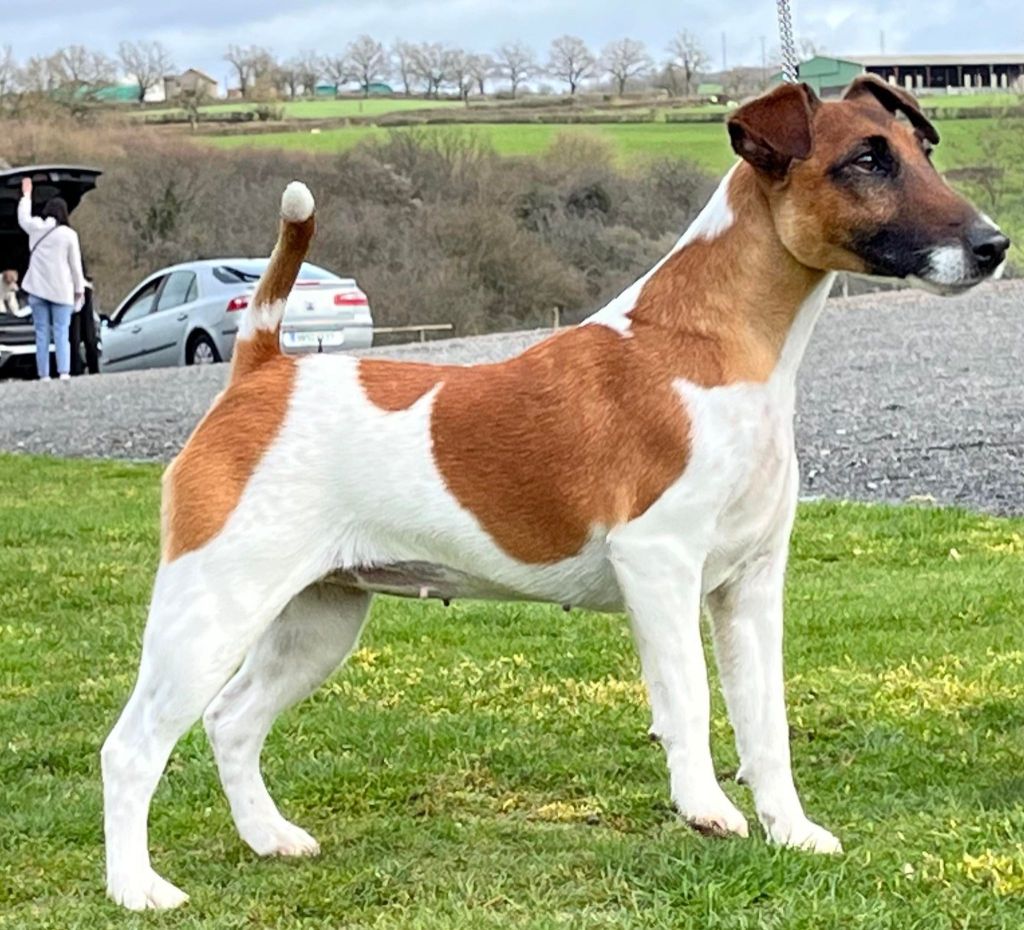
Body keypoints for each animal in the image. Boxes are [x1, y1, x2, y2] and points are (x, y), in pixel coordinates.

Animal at [101, 76, 1009, 910]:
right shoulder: (659, 566)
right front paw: (705, 809)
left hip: (317, 619)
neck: (708, 343)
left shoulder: (749, 588)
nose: (994, 244)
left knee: (233, 721)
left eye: (922, 149)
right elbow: (688, 701)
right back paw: (137, 888)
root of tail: (261, 371)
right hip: (211, 611)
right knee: (132, 747)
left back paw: (269, 837)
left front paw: (792, 831)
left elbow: (765, 725)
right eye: (866, 161)